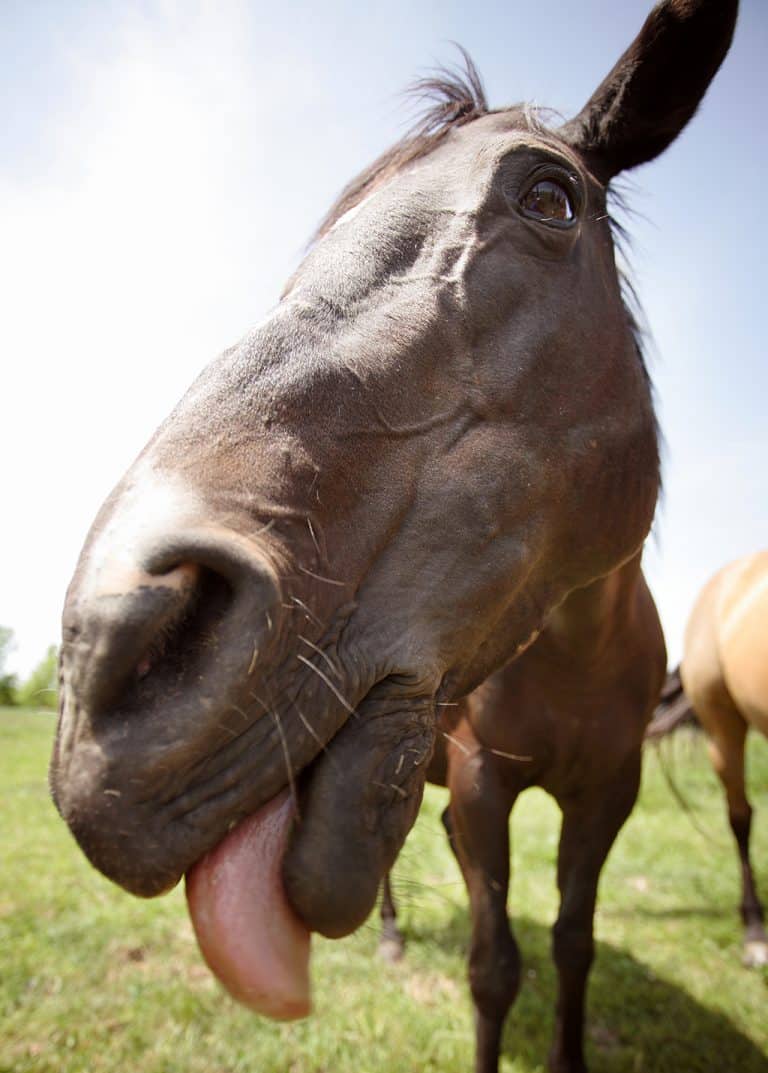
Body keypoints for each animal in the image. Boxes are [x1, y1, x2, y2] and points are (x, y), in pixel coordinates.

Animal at [380, 554, 666, 1073]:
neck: (579, 648)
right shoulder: (480, 780)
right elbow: (494, 968)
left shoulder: (607, 794)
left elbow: (574, 942)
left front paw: (568, 1060)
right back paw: (390, 935)